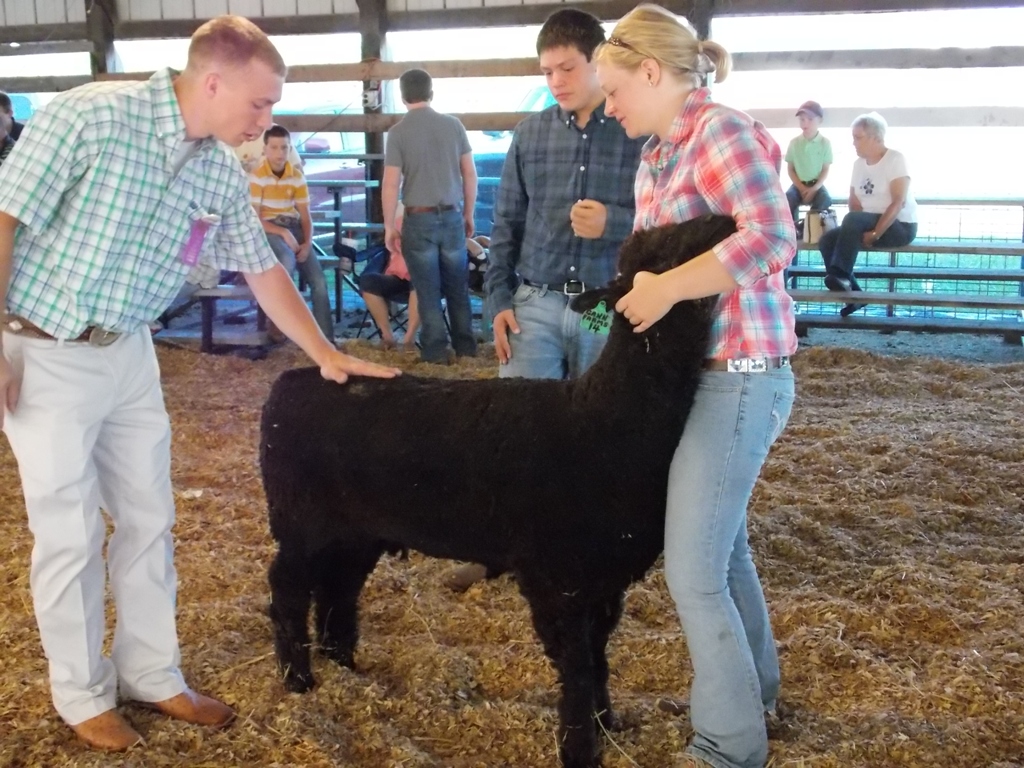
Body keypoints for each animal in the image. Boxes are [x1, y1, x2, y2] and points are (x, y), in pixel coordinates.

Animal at [260, 214, 737, 768]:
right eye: (663, 250)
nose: (724, 219)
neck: (604, 418)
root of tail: (290, 383)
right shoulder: (557, 578)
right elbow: (576, 666)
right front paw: (580, 747)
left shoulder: (604, 579)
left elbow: (597, 658)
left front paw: (604, 723)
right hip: (301, 523)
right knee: (288, 590)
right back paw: (298, 678)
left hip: (355, 531)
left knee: (338, 589)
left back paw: (344, 666)